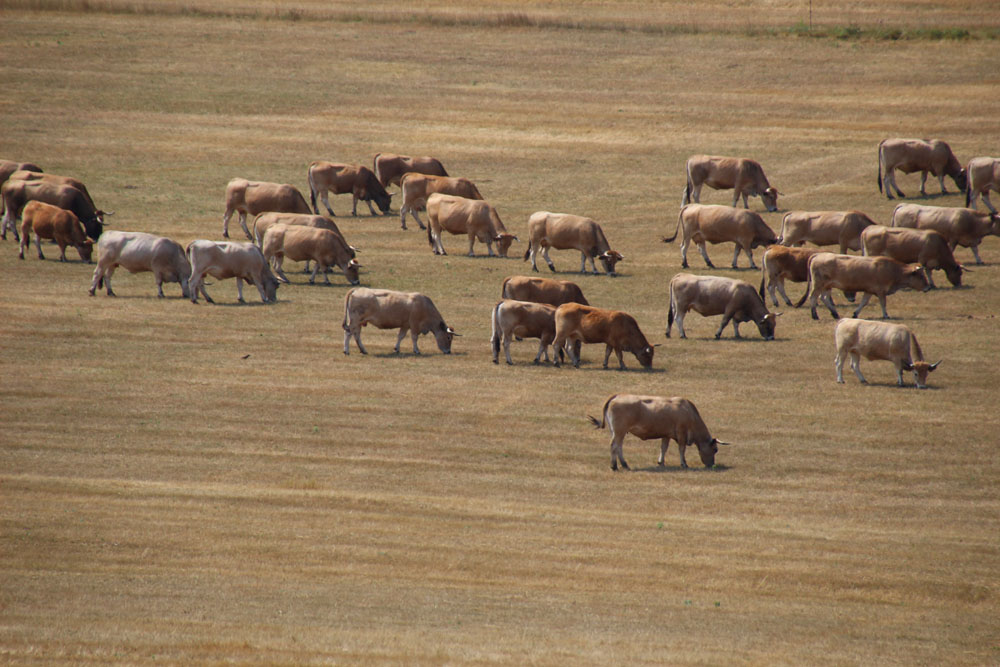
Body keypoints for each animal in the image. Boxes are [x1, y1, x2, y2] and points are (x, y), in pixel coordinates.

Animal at [588, 394, 729, 470]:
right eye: (715, 449)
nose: (712, 465)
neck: (689, 412)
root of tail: (617, 395)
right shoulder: (681, 434)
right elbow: (681, 449)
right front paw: (684, 464)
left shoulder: (666, 435)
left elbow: (663, 448)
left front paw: (661, 462)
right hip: (619, 431)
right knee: (614, 446)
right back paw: (614, 466)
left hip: (617, 432)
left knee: (619, 447)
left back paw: (624, 464)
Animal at [796, 253, 929, 320]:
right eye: (921, 276)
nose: (928, 287)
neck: (893, 270)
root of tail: (817, 255)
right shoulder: (881, 291)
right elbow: (883, 303)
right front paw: (886, 315)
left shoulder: (869, 290)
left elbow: (864, 302)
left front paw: (855, 313)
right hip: (818, 284)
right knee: (813, 297)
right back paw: (815, 315)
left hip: (827, 286)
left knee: (824, 298)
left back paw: (835, 314)